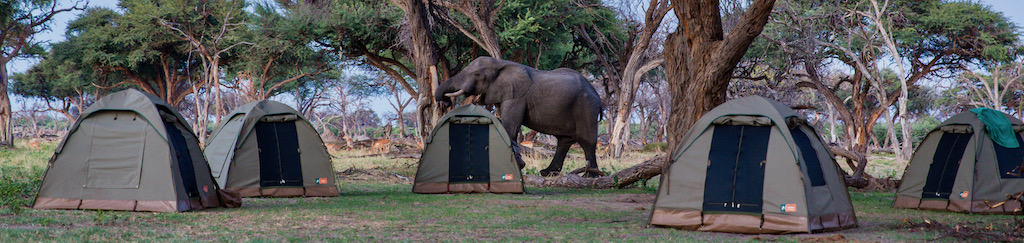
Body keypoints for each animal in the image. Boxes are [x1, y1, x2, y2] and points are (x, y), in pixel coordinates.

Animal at [436, 57, 602, 178]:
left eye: (477, 75)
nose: (445, 103)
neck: (501, 64)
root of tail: (597, 95)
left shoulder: (517, 96)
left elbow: (510, 125)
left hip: (586, 107)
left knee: (587, 141)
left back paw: (590, 176)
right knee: (564, 141)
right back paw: (547, 173)